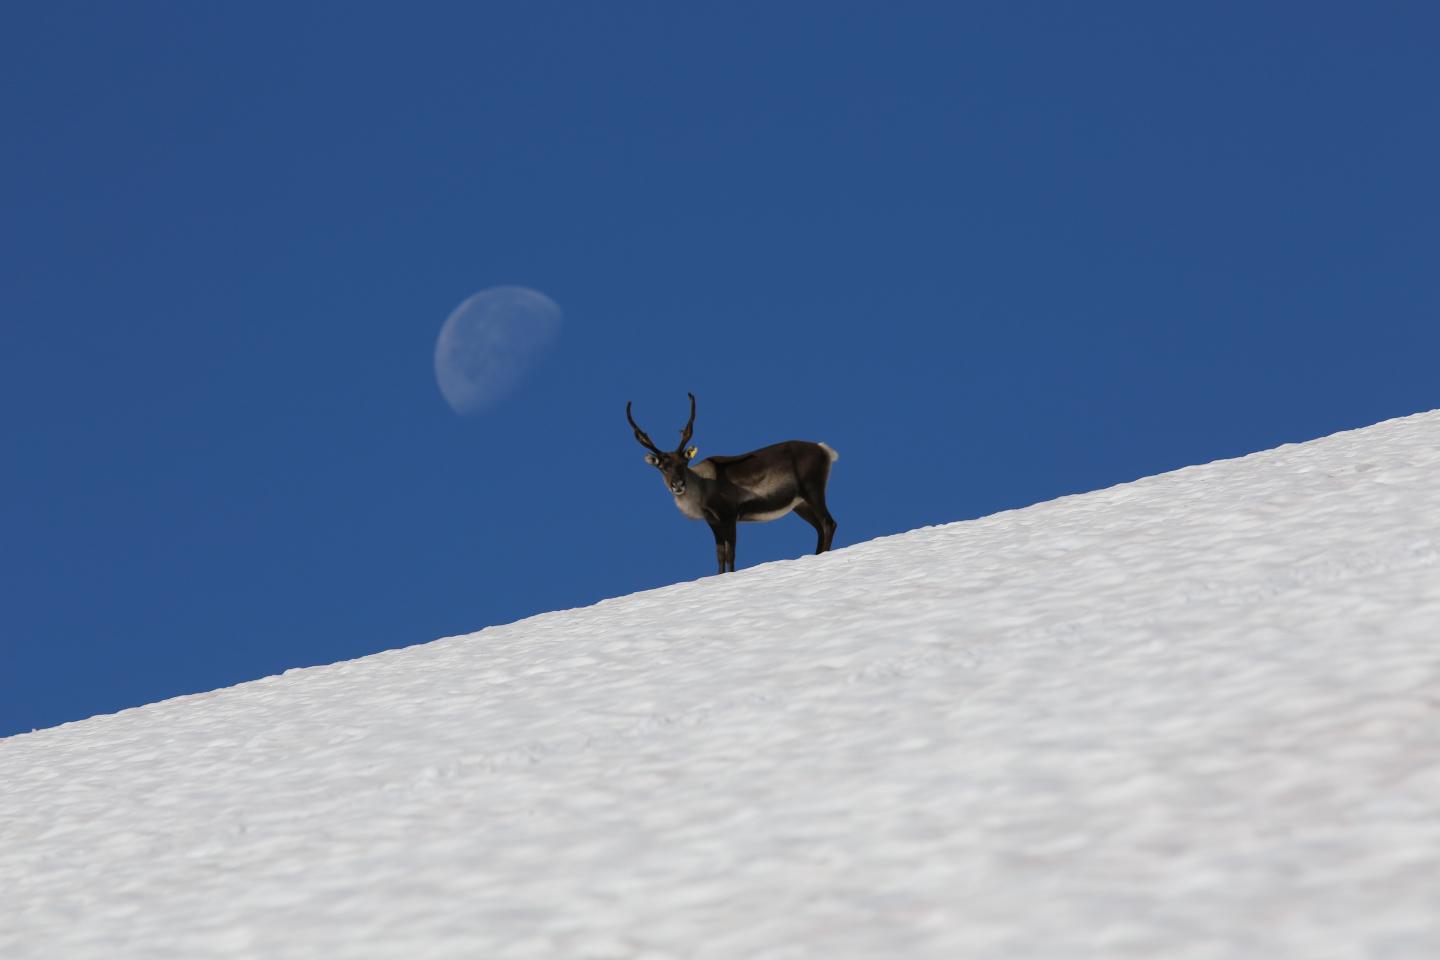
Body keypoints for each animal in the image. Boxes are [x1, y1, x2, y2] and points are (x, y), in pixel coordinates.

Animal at [627, 393, 839, 574]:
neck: (702, 490)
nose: (678, 485)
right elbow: (720, 555)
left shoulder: (730, 514)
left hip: (813, 489)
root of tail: (825, 450)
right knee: (819, 528)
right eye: (662, 467)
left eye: (684, 463)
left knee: (829, 523)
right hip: (800, 504)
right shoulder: (712, 521)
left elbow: (731, 555)